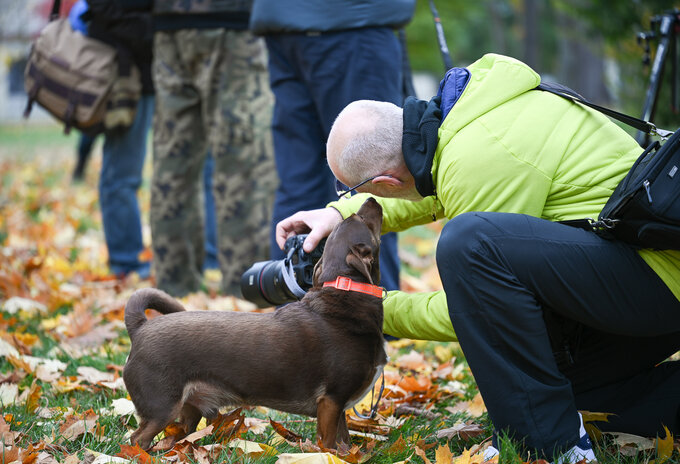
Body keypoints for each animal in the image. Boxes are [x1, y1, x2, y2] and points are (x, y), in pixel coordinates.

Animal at [123, 198, 388, 450]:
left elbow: (344, 442)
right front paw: (330, 456)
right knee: (137, 439)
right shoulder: (331, 401)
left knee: (176, 437)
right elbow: (330, 443)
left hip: (189, 410)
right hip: (163, 407)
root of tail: (140, 328)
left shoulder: (339, 408)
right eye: (361, 219)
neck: (344, 293)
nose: (372, 199)